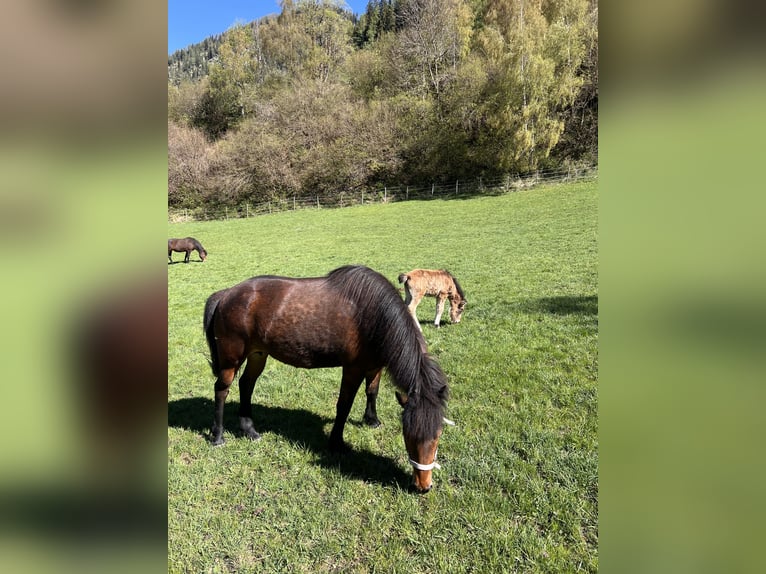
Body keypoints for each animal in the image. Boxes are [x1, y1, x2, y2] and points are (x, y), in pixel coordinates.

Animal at [203, 265, 449, 492]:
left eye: (437, 436)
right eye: (409, 436)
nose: (424, 485)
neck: (374, 315)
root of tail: (225, 294)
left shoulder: (376, 365)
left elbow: (372, 391)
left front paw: (372, 420)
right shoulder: (353, 368)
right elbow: (344, 405)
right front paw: (337, 442)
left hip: (257, 354)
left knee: (246, 385)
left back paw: (249, 429)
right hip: (231, 359)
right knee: (222, 389)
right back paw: (218, 436)